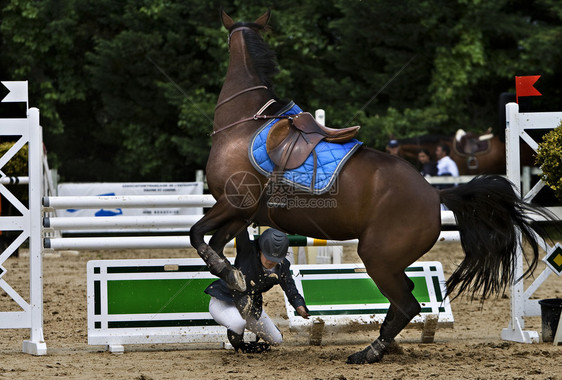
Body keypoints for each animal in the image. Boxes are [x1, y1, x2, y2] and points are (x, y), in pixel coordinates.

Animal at [189, 9, 552, 366]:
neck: (243, 124)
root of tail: (435, 193)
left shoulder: (232, 203)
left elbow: (198, 236)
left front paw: (230, 277)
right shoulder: (241, 212)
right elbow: (218, 245)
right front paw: (237, 286)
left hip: (377, 257)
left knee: (406, 304)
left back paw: (369, 353)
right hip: (390, 261)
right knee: (404, 300)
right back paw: (380, 348)